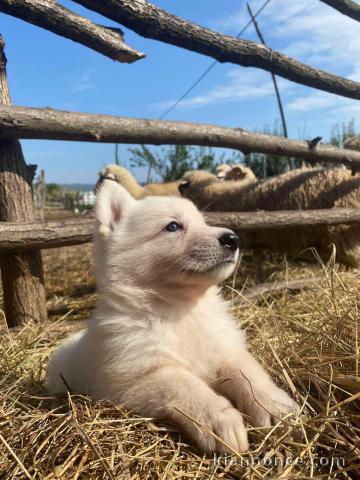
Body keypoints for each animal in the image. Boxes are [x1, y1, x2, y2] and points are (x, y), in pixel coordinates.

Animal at [46, 180, 298, 454]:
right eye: (173, 226)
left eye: (203, 222)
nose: (233, 239)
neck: (181, 310)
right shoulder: (131, 378)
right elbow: (185, 384)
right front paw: (221, 419)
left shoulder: (226, 350)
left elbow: (249, 375)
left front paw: (274, 406)